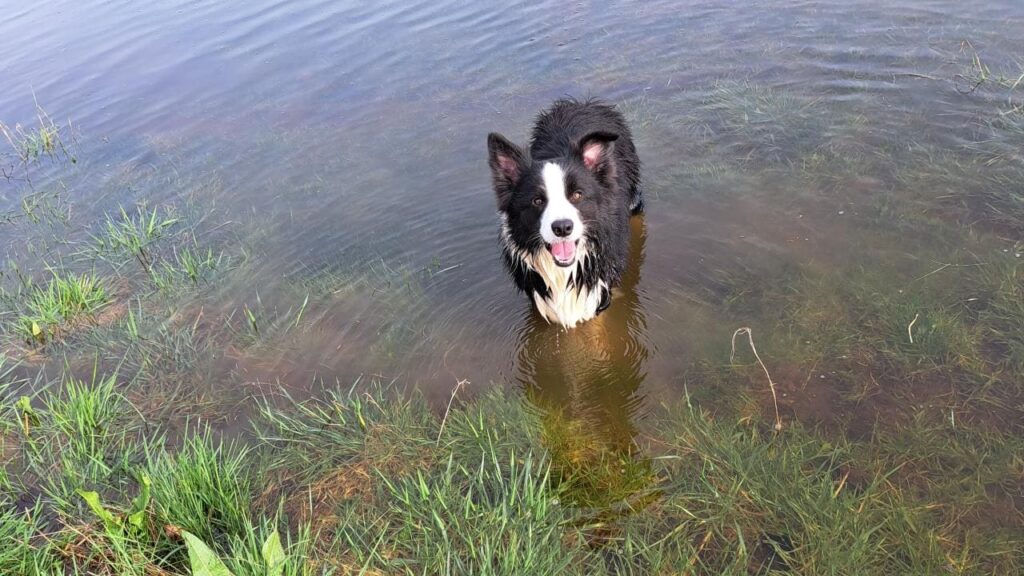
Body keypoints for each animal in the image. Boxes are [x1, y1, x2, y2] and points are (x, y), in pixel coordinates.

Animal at [485, 98, 638, 327]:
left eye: (577, 195)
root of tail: (582, 103)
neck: (564, 272)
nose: (562, 228)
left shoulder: (598, 291)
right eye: (537, 201)